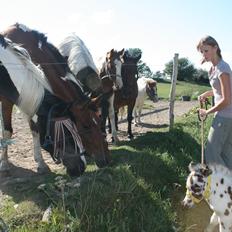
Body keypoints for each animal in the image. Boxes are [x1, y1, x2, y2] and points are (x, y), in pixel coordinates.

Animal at [0, 22, 110, 174]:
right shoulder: (9, 100)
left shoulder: (28, 101)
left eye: (99, 122)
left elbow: (35, 129)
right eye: (85, 126)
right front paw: (5, 163)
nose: (106, 160)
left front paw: (40, 163)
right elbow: (7, 131)